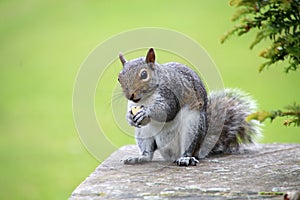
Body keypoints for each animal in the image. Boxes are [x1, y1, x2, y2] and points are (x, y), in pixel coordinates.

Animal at [117, 48, 260, 166]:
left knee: (188, 149)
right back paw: (140, 158)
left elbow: (167, 111)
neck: (146, 98)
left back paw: (185, 158)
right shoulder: (133, 104)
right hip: (144, 132)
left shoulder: (170, 94)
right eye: (119, 78)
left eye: (144, 75)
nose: (130, 95)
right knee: (148, 153)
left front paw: (146, 112)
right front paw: (129, 117)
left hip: (192, 126)